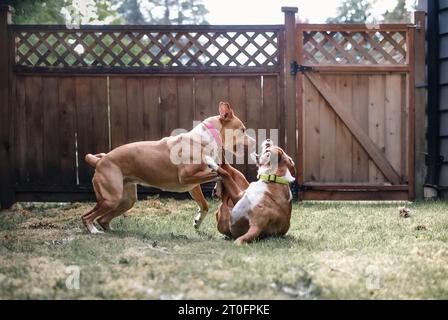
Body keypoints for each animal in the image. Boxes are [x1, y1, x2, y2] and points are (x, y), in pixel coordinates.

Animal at [82, 103, 254, 235]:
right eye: (243, 129)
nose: (253, 141)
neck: (205, 138)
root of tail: (100, 161)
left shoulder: (193, 185)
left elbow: (205, 204)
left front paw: (198, 221)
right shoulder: (186, 177)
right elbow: (218, 174)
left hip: (126, 200)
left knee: (103, 219)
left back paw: (113, 230)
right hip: (111, 198)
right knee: (87, 217)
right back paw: (94, 231)